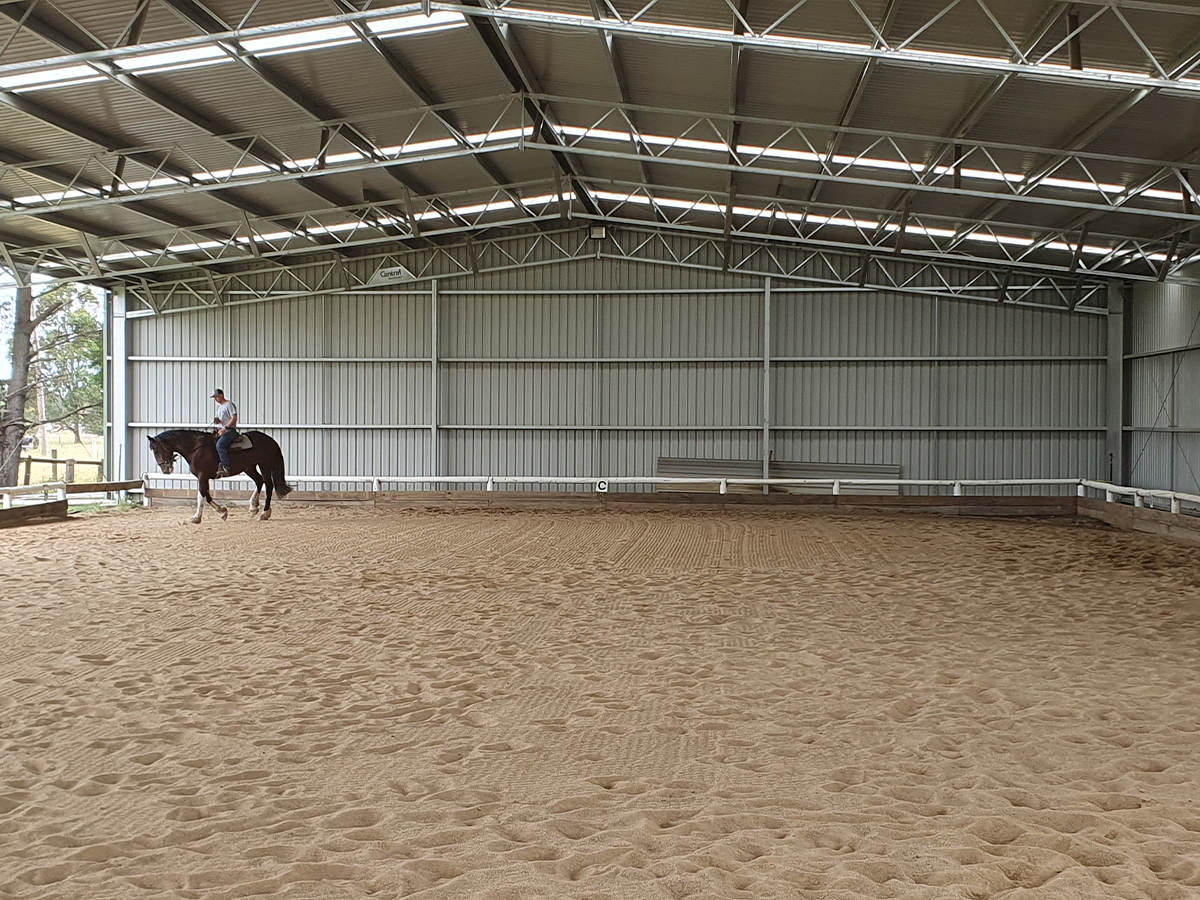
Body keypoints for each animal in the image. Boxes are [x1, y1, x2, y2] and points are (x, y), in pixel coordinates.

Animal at [148, 432, 294, 525]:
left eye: (157, 449)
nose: (165, 470)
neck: (196, 448)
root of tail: (270, 440)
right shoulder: (204, 477)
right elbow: (207, 496)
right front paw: (222, 512)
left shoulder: (202, 475)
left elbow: (201, 495)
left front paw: (196, 518)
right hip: (249, 467)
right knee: (259, 481)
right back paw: (253, 507)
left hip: (264, 465)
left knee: (268, 486)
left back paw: (264, 513)